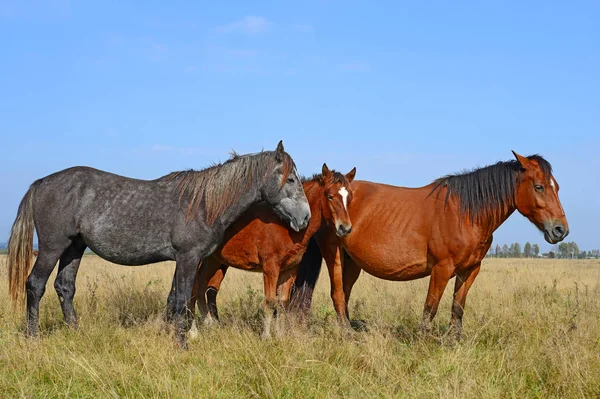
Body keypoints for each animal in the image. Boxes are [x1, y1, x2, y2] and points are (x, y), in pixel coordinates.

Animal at [7, 141, 312, 346]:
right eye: (291, 179)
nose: (305, 218)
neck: (203, 204)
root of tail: (42, 182)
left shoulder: (184, 260)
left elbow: (175, 300)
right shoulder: (189, 257)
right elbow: (183, 299)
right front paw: (183, 344)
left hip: (74, 248)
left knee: (65, 287)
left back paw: (75, 332)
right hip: (52, 247)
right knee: (35, 284)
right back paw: (33, 338)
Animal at [190, 164, 354, 340]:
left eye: (350, 197)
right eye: (330, 196)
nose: (345, 228)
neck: (286, 224)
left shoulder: (289, 270)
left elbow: (282, 302)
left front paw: (280, 335)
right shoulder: (270, 268)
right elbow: (269, 301)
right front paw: (266, 336)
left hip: (212, 261)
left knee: (201, 288)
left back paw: (209, 324)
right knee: (193, 290)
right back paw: (193, 331)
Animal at [298, 152, 568, 340]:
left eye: (557, 187)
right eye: (539, 187)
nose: (560, 230)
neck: (465, 214)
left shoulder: (470, 270)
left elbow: (457, 307)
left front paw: (454, 341)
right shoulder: (442, 269)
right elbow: (430, 307)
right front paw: (423, 342)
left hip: (352, 262)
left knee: (344, 294)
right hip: (333, 254)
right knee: (337, 294)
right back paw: (346, 334)